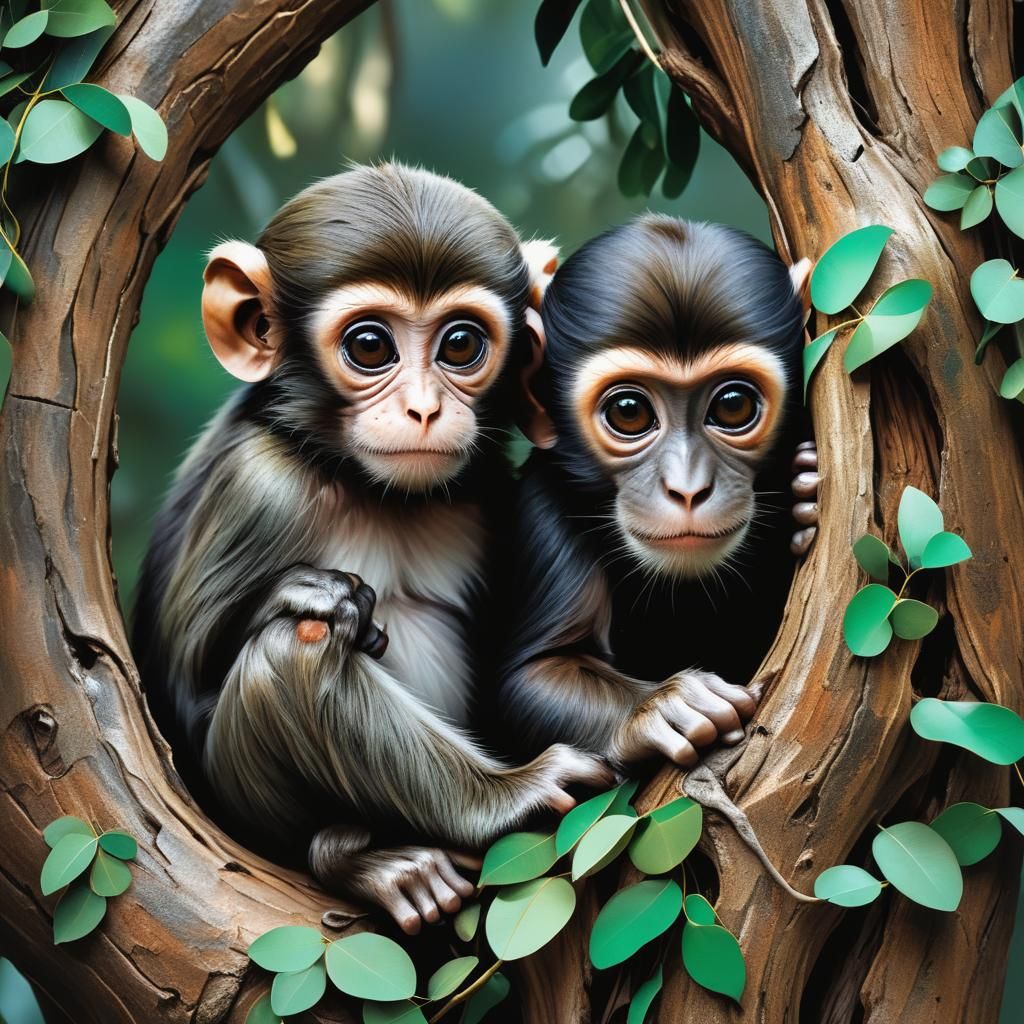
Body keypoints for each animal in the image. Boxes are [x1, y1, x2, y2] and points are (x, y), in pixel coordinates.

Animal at [131, 164, 613, 935]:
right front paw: (314, 594)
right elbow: (180, 697)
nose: (423, 408)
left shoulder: (488, 491)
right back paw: (385, 853)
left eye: (460, 345)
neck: (370, 488)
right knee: (292, 651)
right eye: (369, 347)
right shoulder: (258, 485)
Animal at [497, 215, 818, 768]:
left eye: (732, 405)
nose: (687, 488)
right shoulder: (542, 510)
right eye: (629, 412)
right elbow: (533, 674)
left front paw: (803, 493)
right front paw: (661, 707)